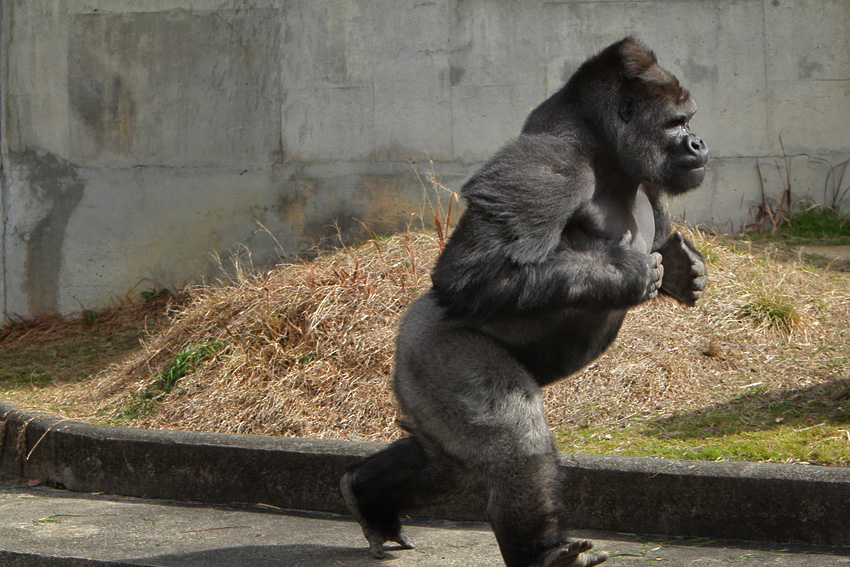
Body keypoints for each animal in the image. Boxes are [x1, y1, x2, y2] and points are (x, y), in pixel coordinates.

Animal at [342, 37, 704, 567]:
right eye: (676, 123)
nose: (698, 144)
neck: (605, 152)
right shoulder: (546, 170)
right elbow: (470, 275)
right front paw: (625, 272)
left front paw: (679, 268)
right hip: (425, 351)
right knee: (509, 442)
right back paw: (544, 551)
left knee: (448, 464)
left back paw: (369, 497)